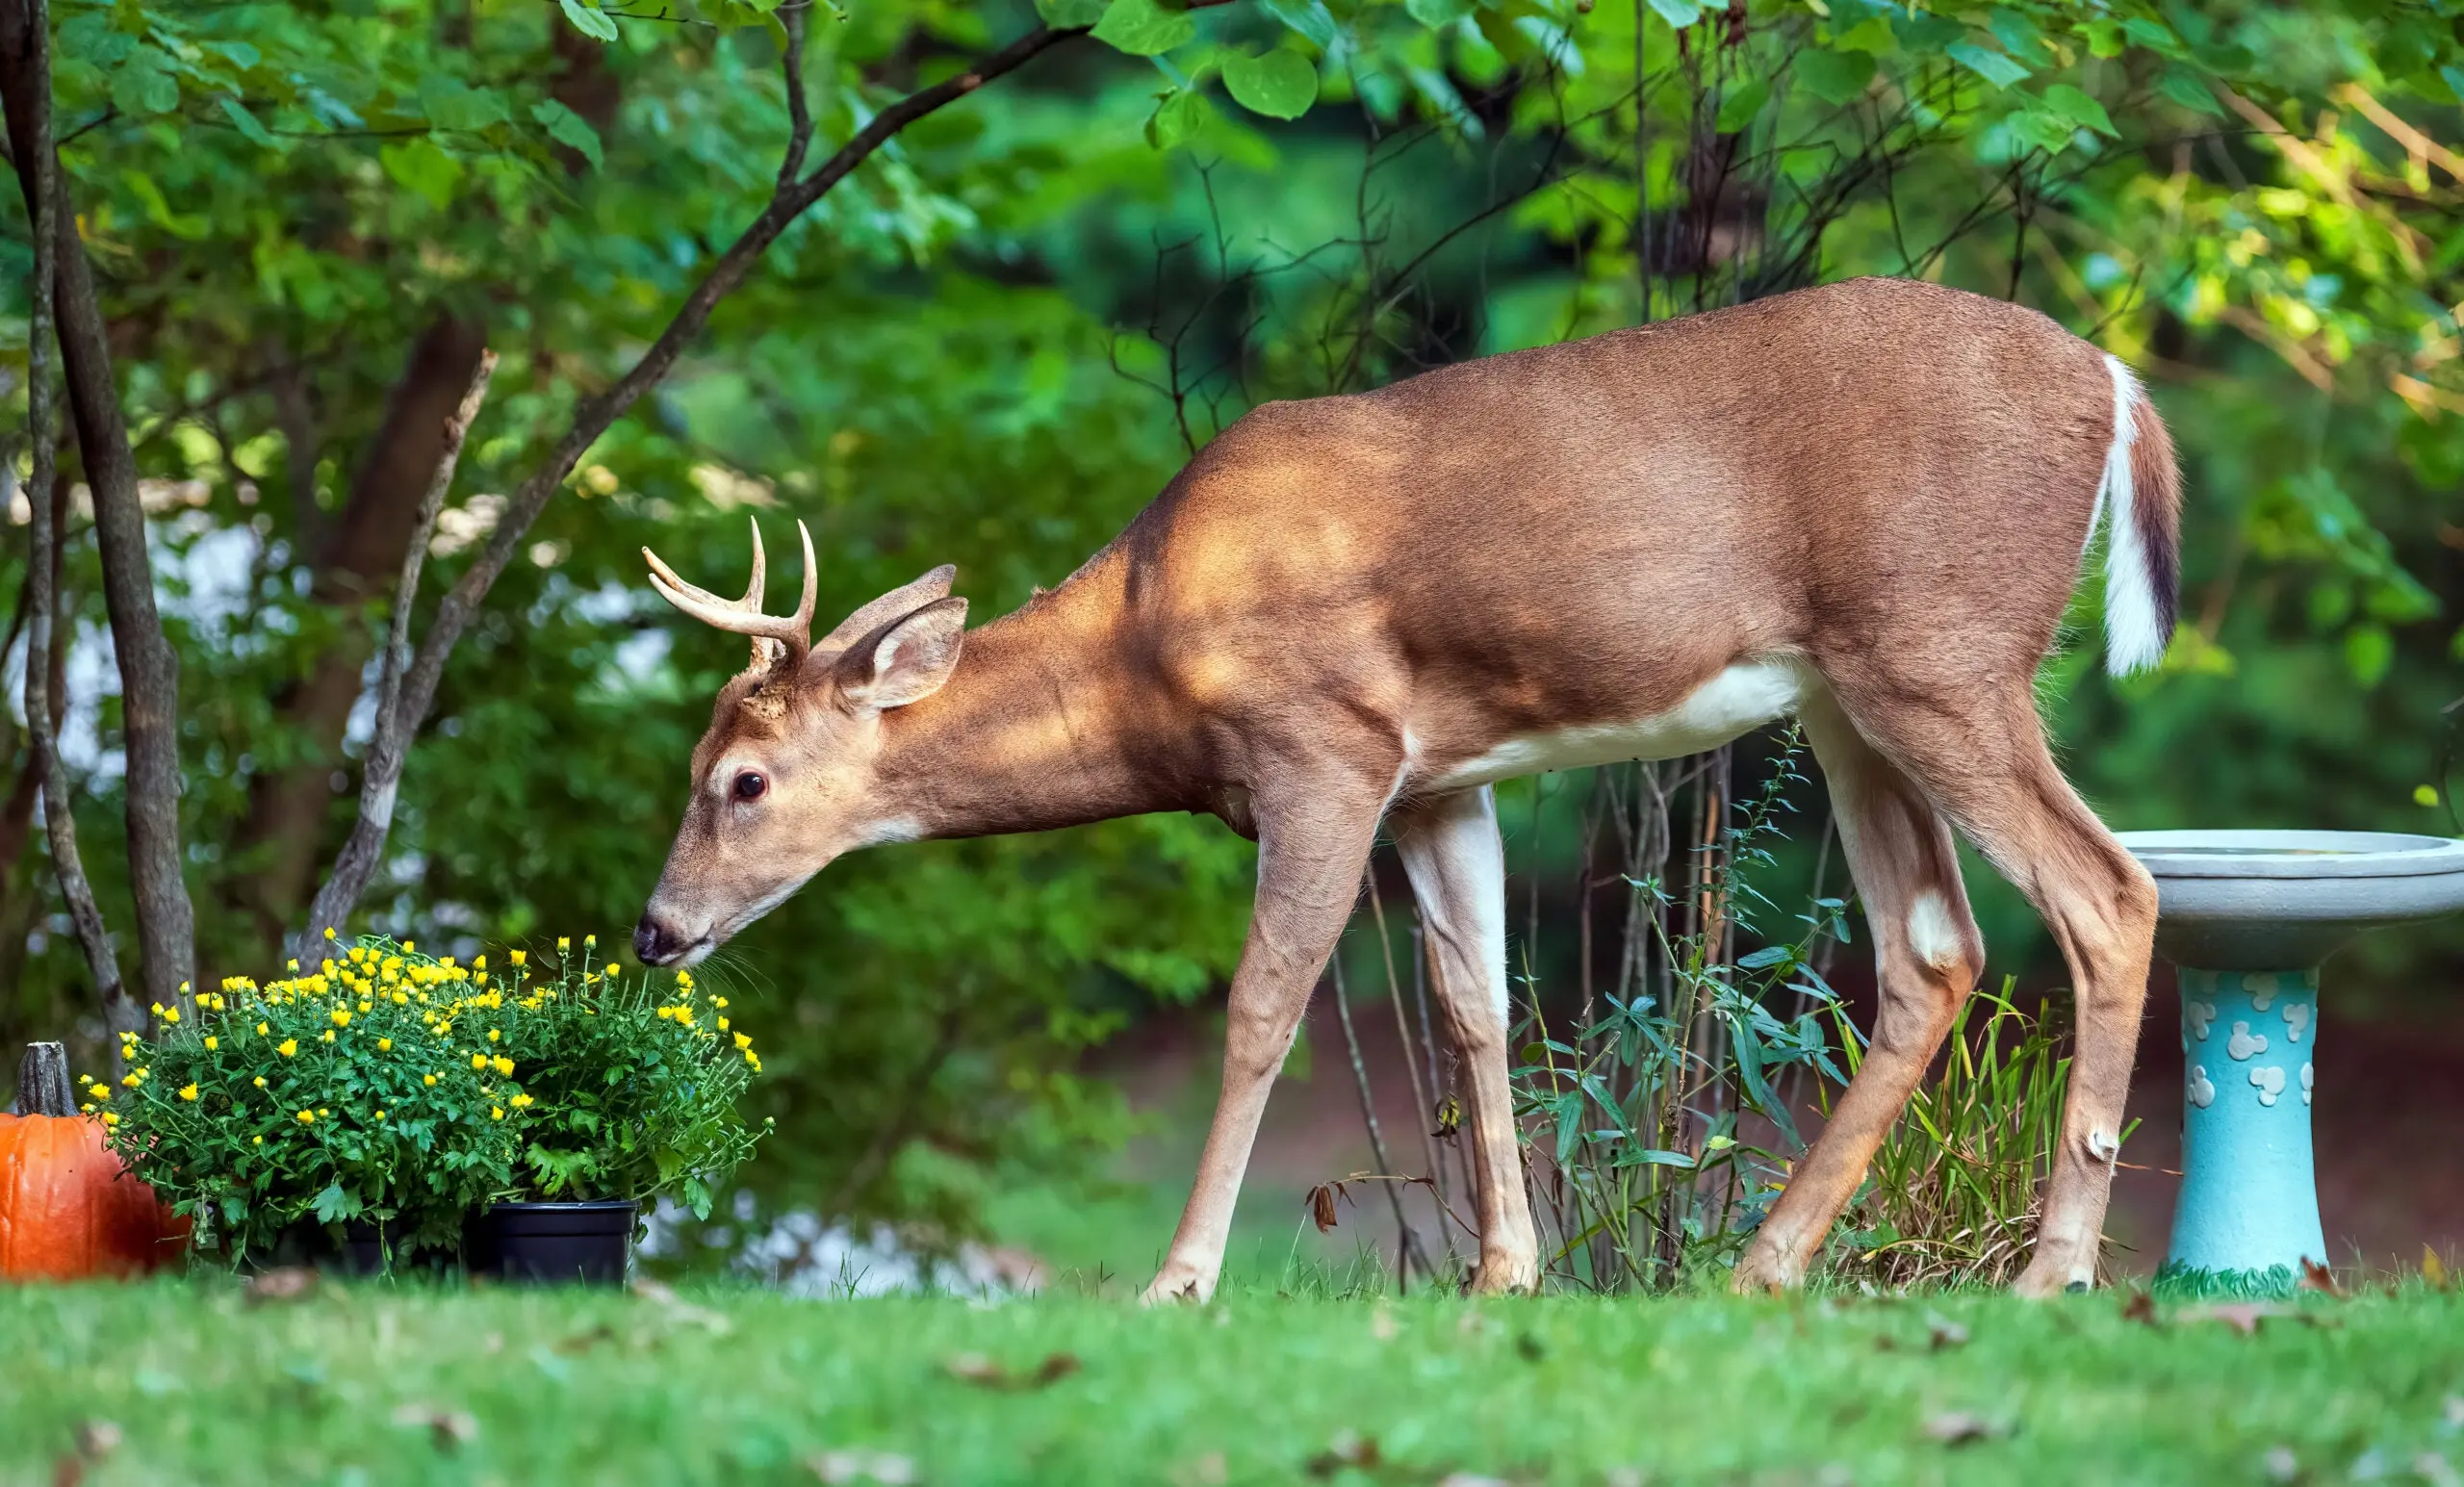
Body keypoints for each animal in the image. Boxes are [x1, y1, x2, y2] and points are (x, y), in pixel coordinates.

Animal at [635, 278, 2178, 1299]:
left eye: (744, 781)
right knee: (1935, 947)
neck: (1150, 647)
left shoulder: (1324, 748)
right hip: (1852, 697)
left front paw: (1179, 1280)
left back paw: (2049, 1276)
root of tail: (2115, 383)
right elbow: (1474, 1004)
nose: (656, 930)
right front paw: (1504, 1275)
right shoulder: (1438, 780)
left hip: (1942, 653)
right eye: (702, 771)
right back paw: (1763, 1268)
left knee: (2107, 891)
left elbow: (1265, 1004)